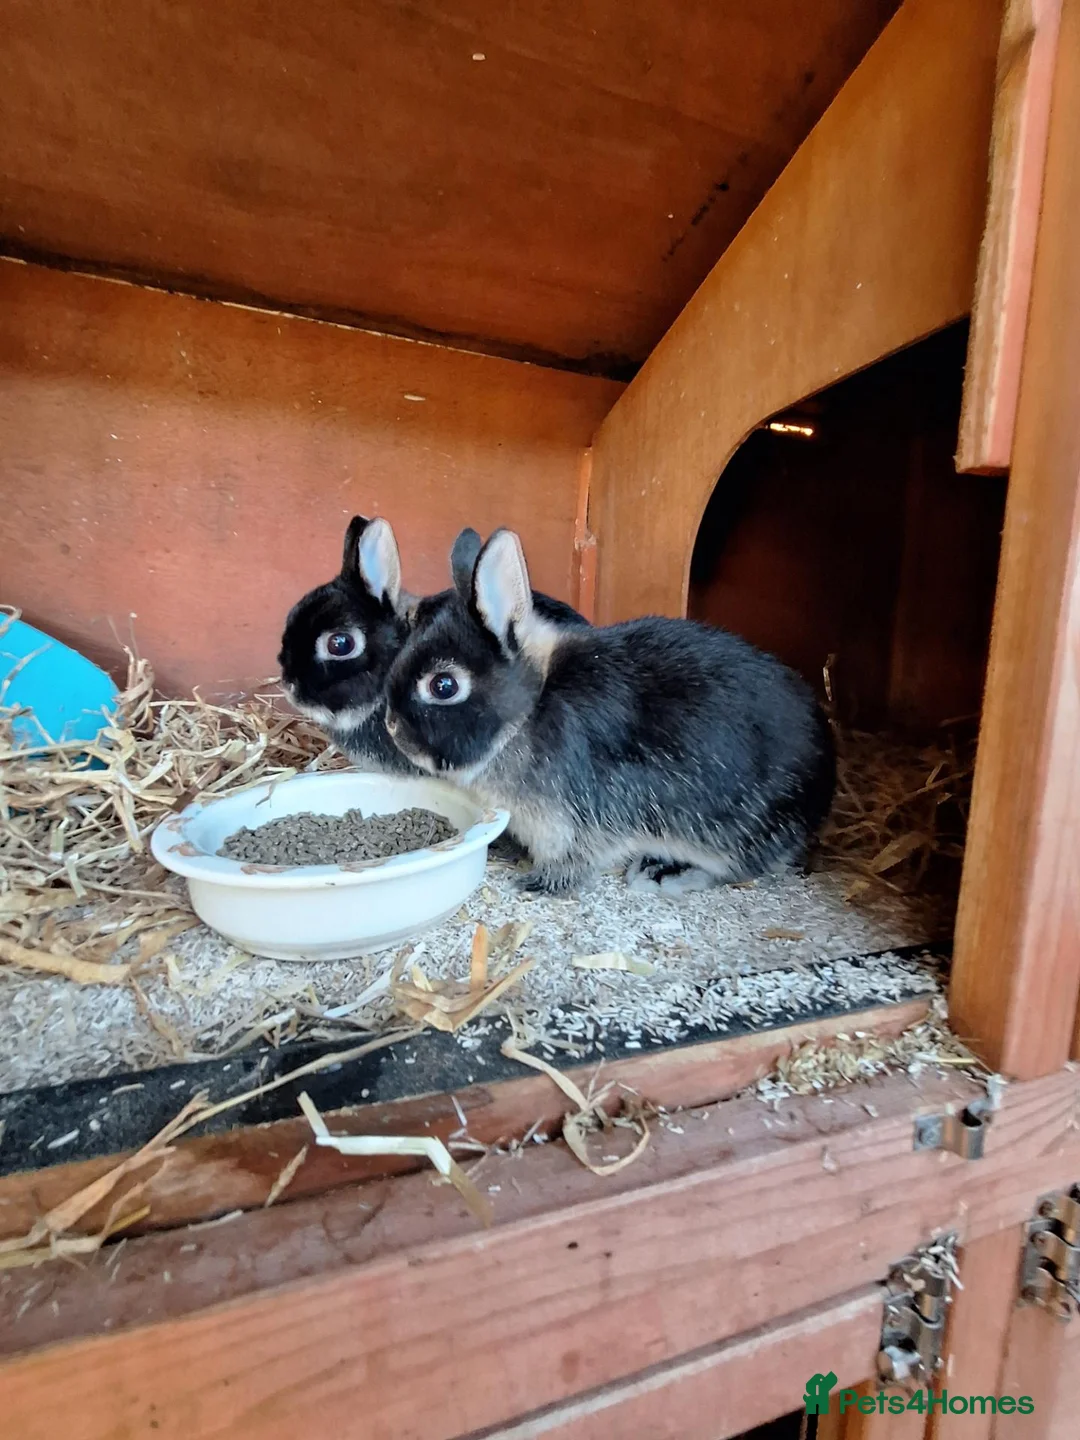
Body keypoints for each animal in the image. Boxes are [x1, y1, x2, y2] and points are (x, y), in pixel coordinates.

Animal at [383, 527, 836, 895]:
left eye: (443, 686)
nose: (391, 727)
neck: (529, 711)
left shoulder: (584, 818)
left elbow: (578, 859)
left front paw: (538, 884)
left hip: (736, 831)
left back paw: (664, 873)